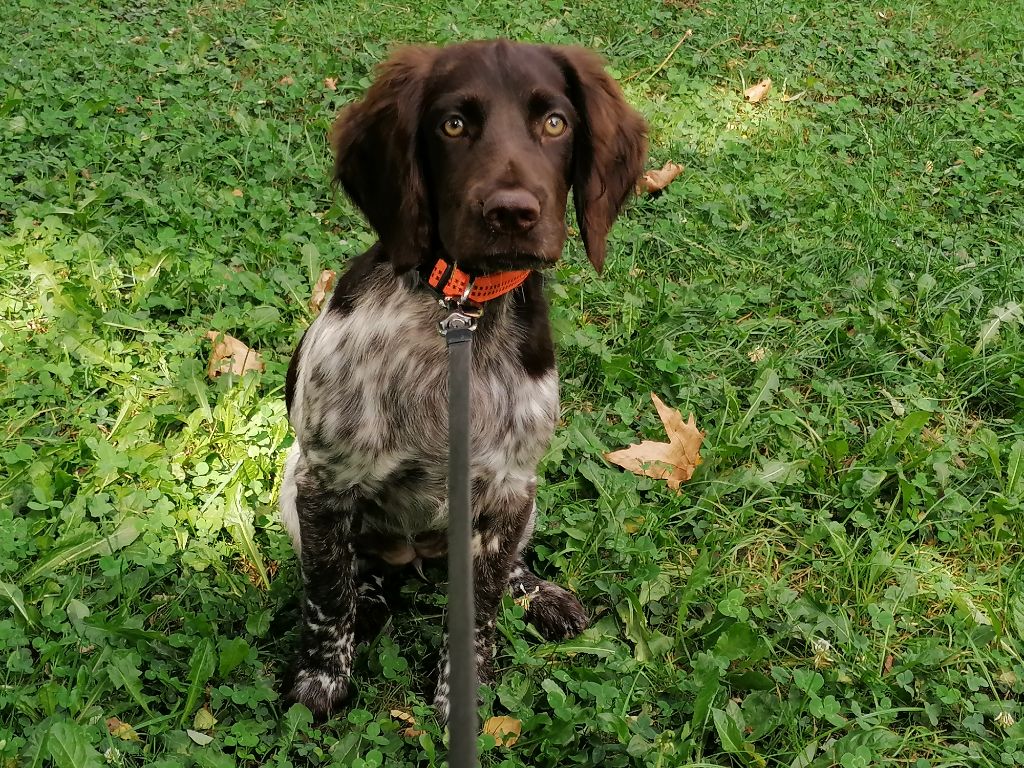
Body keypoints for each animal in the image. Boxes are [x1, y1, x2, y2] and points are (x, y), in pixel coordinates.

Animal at [278, 37, 647, 720]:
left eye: (555, 123)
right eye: (452, 125)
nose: (512, 213)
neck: (461, 308)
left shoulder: (508, 485)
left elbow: (483, 608)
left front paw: (464, 693)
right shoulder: (324, 484)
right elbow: (327, 594)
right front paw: (320, 679)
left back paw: (538, 592)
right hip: (293, 483)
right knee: (357, 573)